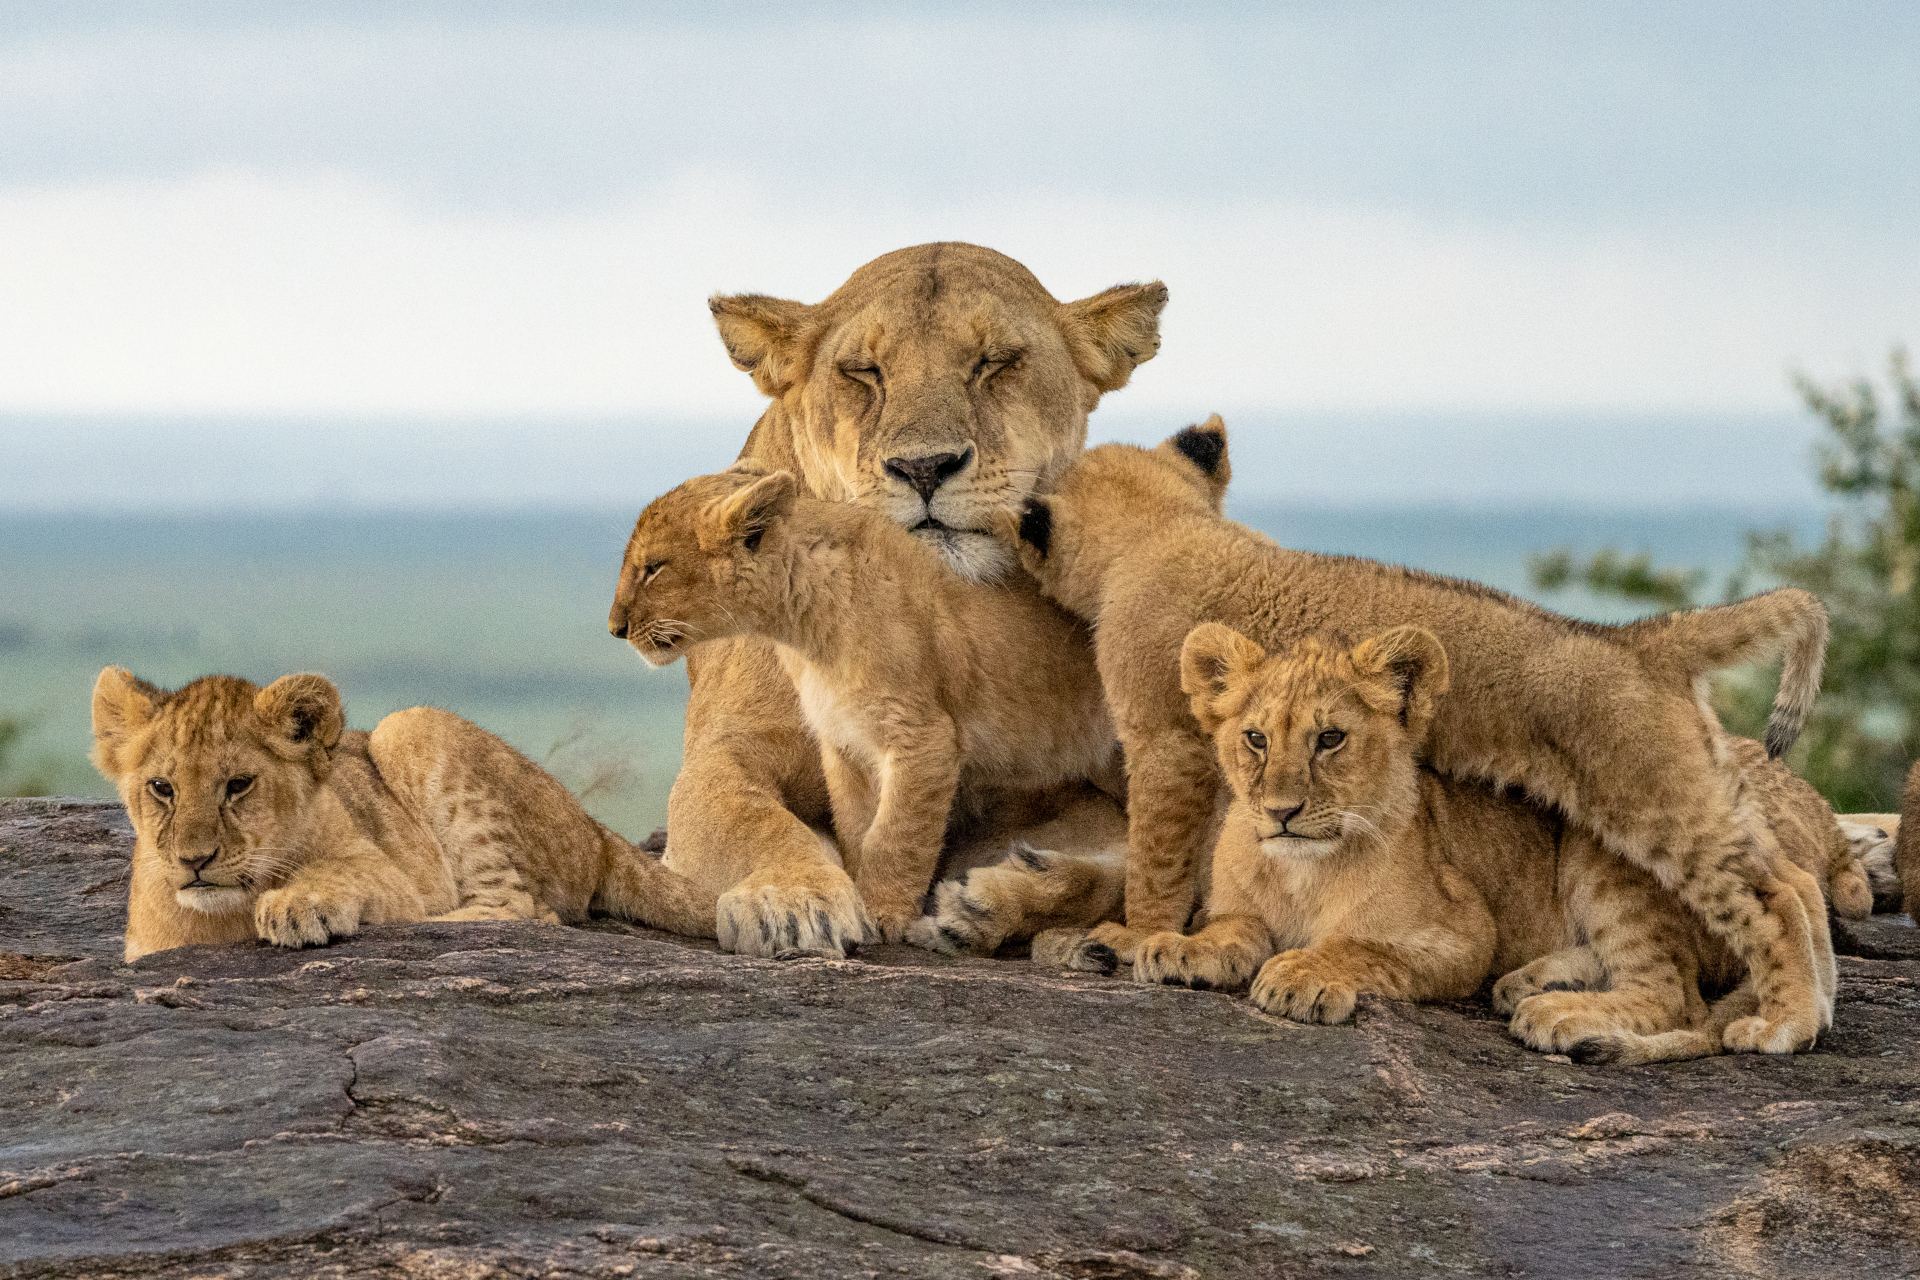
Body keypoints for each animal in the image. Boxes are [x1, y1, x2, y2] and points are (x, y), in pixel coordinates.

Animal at [91, 667, 715, 962]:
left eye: (239, 785)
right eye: (162, 788)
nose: (194, 861)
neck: (218, 917)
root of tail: (593, 827)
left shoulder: (390, 873)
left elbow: (346, 875)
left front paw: (296, 905)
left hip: (410, 726)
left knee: (522, 909)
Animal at [607, 465, 1118, 941]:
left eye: (653, 567)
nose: (615, 627)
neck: (804, 627)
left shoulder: (923, 737)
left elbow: (897, 837)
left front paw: (882, 913)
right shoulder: (844, 742)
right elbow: (856, 829)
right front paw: (856, 893)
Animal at [660, 243, 1166, 958]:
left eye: (994, 362)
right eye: (863, 371)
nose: (924, 468)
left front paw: (1001, 898)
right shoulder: (726, 749)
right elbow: (746, 817)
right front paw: (794, 900)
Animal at [1136, 622, 1846, 1065]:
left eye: (1330, 738)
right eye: (1255, 739)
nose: (1281, 812)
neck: (1300, 870)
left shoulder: (1463, 931)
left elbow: (1357, 944)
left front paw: (1302, 974)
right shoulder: (1240, 907)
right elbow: (1233, 929)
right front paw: (1180, 949)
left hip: (1602, 848)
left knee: (1679, 996)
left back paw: (1561, 1015)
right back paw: (1533, 982)